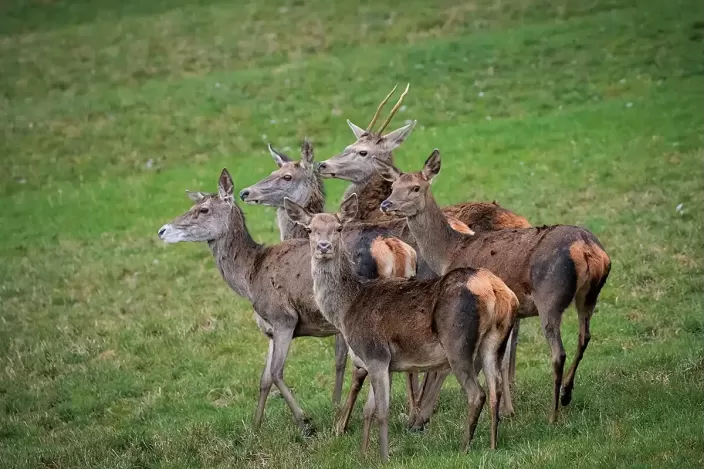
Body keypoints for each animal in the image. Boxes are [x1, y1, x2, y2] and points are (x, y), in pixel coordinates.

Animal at [284, 194, 520, 460]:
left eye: (339, 228)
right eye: (310, 229)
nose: (323, 246)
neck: (346, 309)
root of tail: (495, 290)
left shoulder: (375, 353)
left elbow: (381, 411)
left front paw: (384, 456)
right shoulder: (380, 362)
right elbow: (368, 410)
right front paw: (363, 454)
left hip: (457, 344)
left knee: (476, 393)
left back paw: (464, 447)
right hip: (495, 341)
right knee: (494, 387)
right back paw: (493, 445)